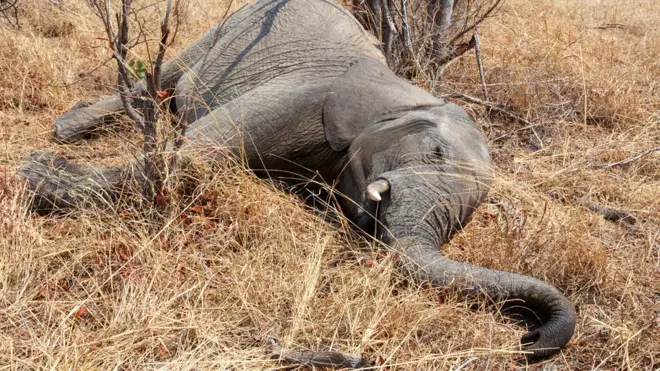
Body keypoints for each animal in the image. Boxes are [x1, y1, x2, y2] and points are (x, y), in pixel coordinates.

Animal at [19, 0, 576, 366]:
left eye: (465, 219)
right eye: (434, 152)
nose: (527, 340)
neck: (406, 94)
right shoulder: (309, 94)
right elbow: (194, 155)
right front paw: (35, 174)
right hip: (229, 27)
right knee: (161, 79)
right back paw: (67, 130)